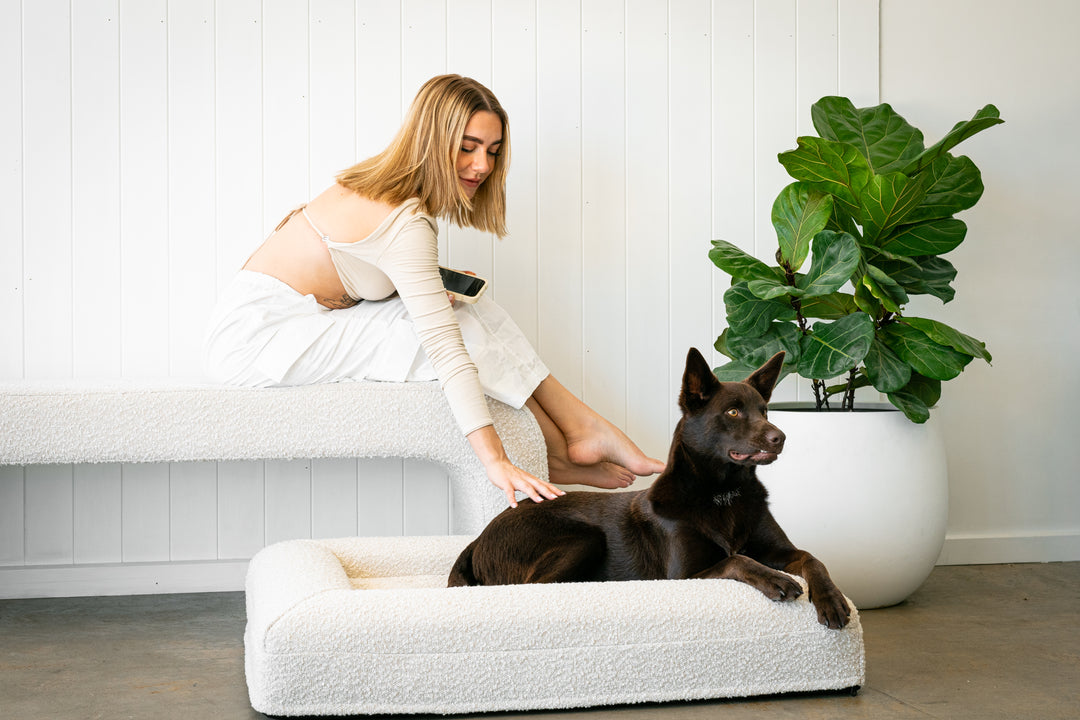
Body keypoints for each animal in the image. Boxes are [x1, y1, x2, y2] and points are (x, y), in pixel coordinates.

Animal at [447, 345, 851, 626]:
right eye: (734, 411)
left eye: (765, 411)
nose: (781, 437)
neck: (721, 495)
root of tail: (478, 539)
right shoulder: (683, 576)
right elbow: (737, 559)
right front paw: (775, 579)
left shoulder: (781, 549)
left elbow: (813, 559)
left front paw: (831, 599)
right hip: (582, 537)